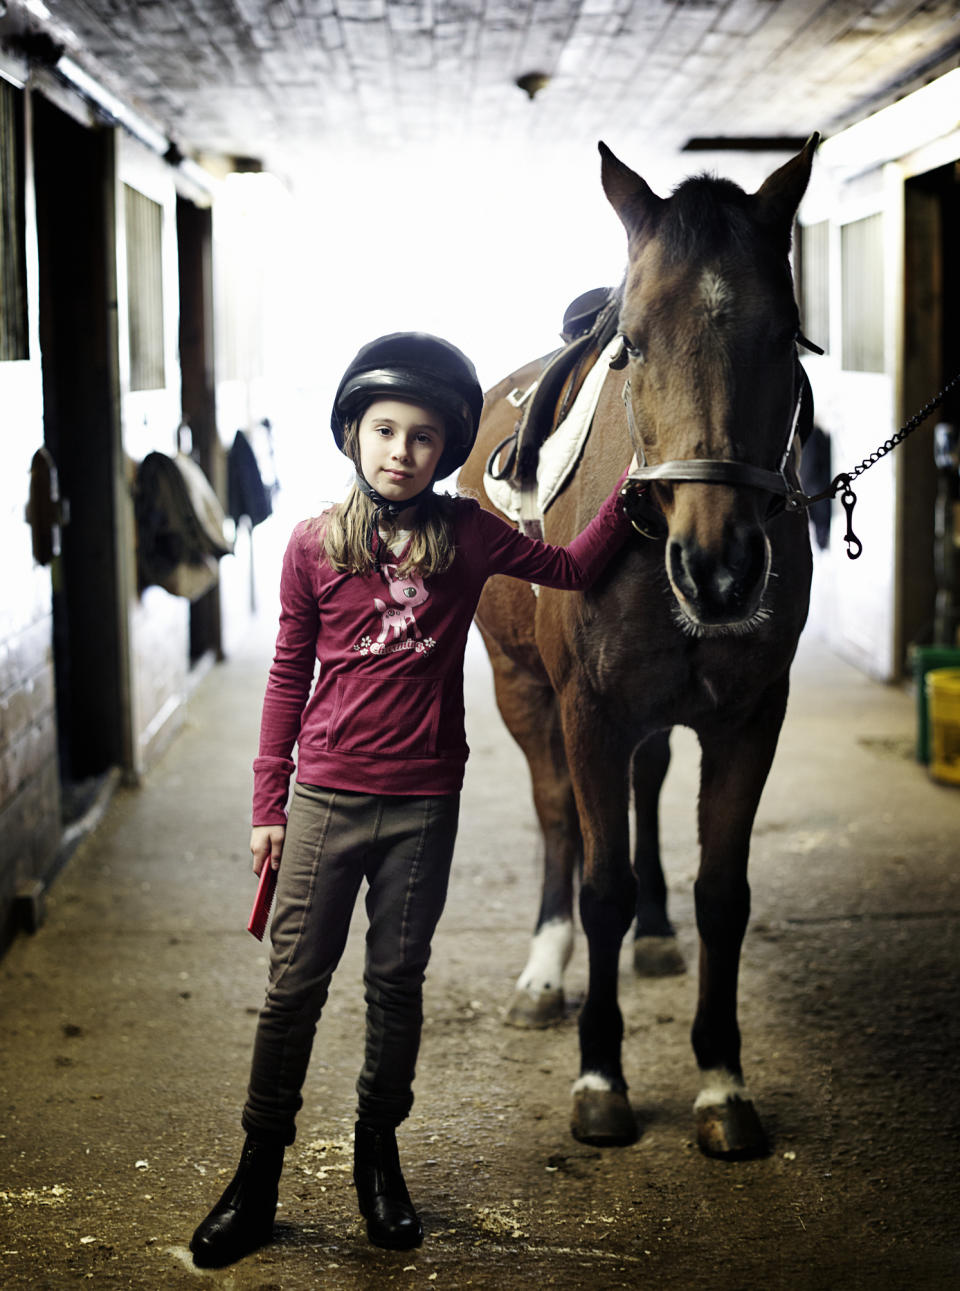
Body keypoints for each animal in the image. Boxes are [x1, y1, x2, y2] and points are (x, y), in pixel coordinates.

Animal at [456, 136, 815, 1156]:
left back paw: (655, 933)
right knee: (557, 820)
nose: (719, 565)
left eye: (785, 336)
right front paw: (600, 1075)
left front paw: (723, 1082)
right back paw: (545, 970)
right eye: (636, 343)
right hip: (521, 690)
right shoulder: (588, 710)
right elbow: (600, 881)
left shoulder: (749, 716)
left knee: (645, 789)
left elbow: (723, 893)